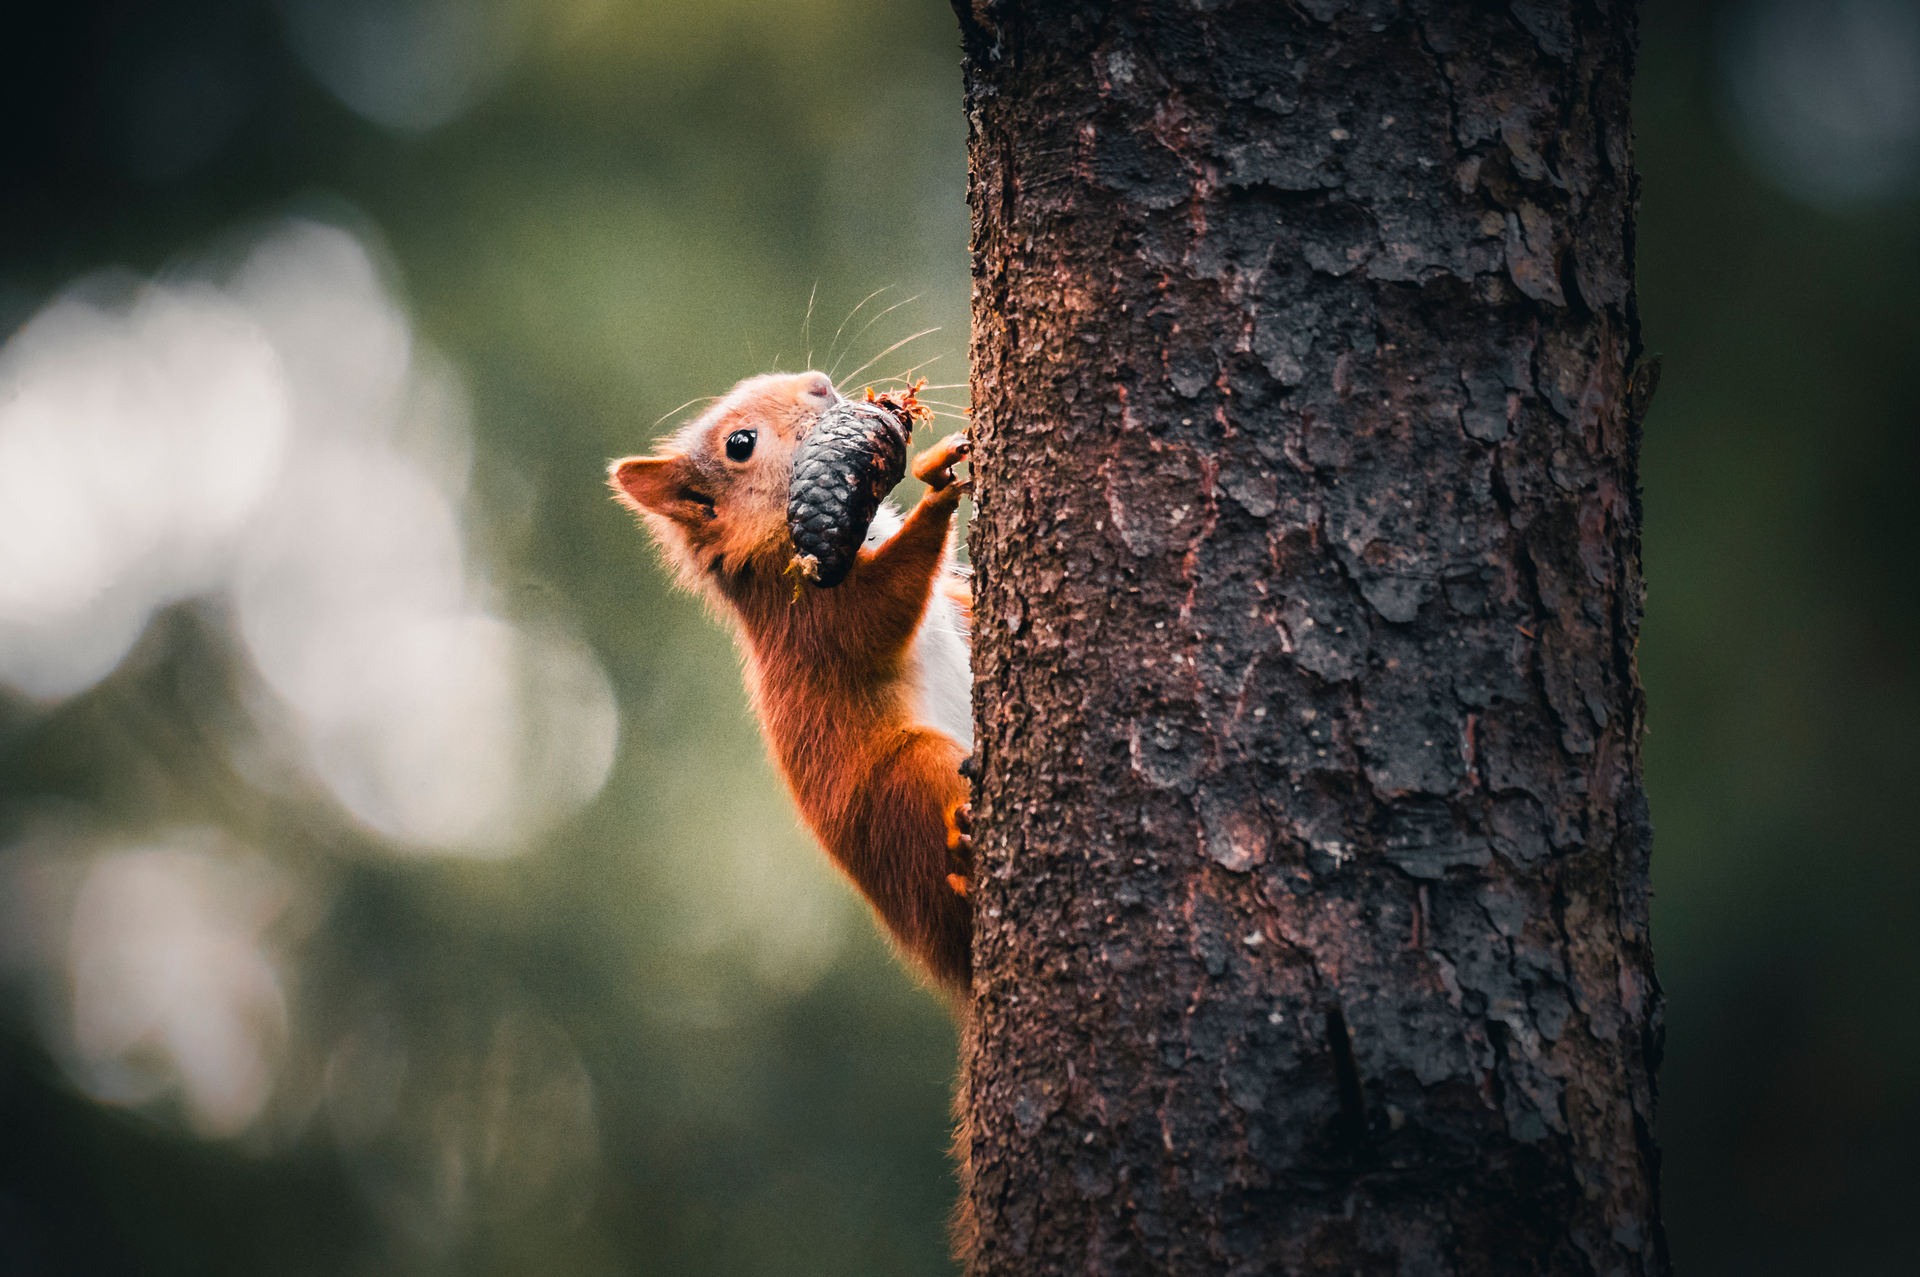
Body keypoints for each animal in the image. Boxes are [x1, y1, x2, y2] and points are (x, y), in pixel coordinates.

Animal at [609, 369, 976, 999]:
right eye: (740, 444)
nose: (819, 384)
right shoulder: (810, 619)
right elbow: (876, 613)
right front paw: (939, 491)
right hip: (908, 782)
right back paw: (968, 860)